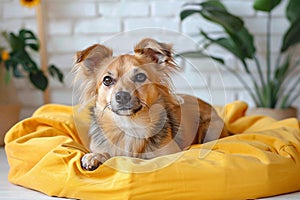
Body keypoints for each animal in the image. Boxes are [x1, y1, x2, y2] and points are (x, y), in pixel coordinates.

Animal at [72, 38, 227, 170]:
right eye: (107, 80)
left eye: (140, 77)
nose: (122, 96)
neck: (129, 125)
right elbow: (106, 153)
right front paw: (95, 156)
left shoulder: (171, 152)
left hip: (210, 130)